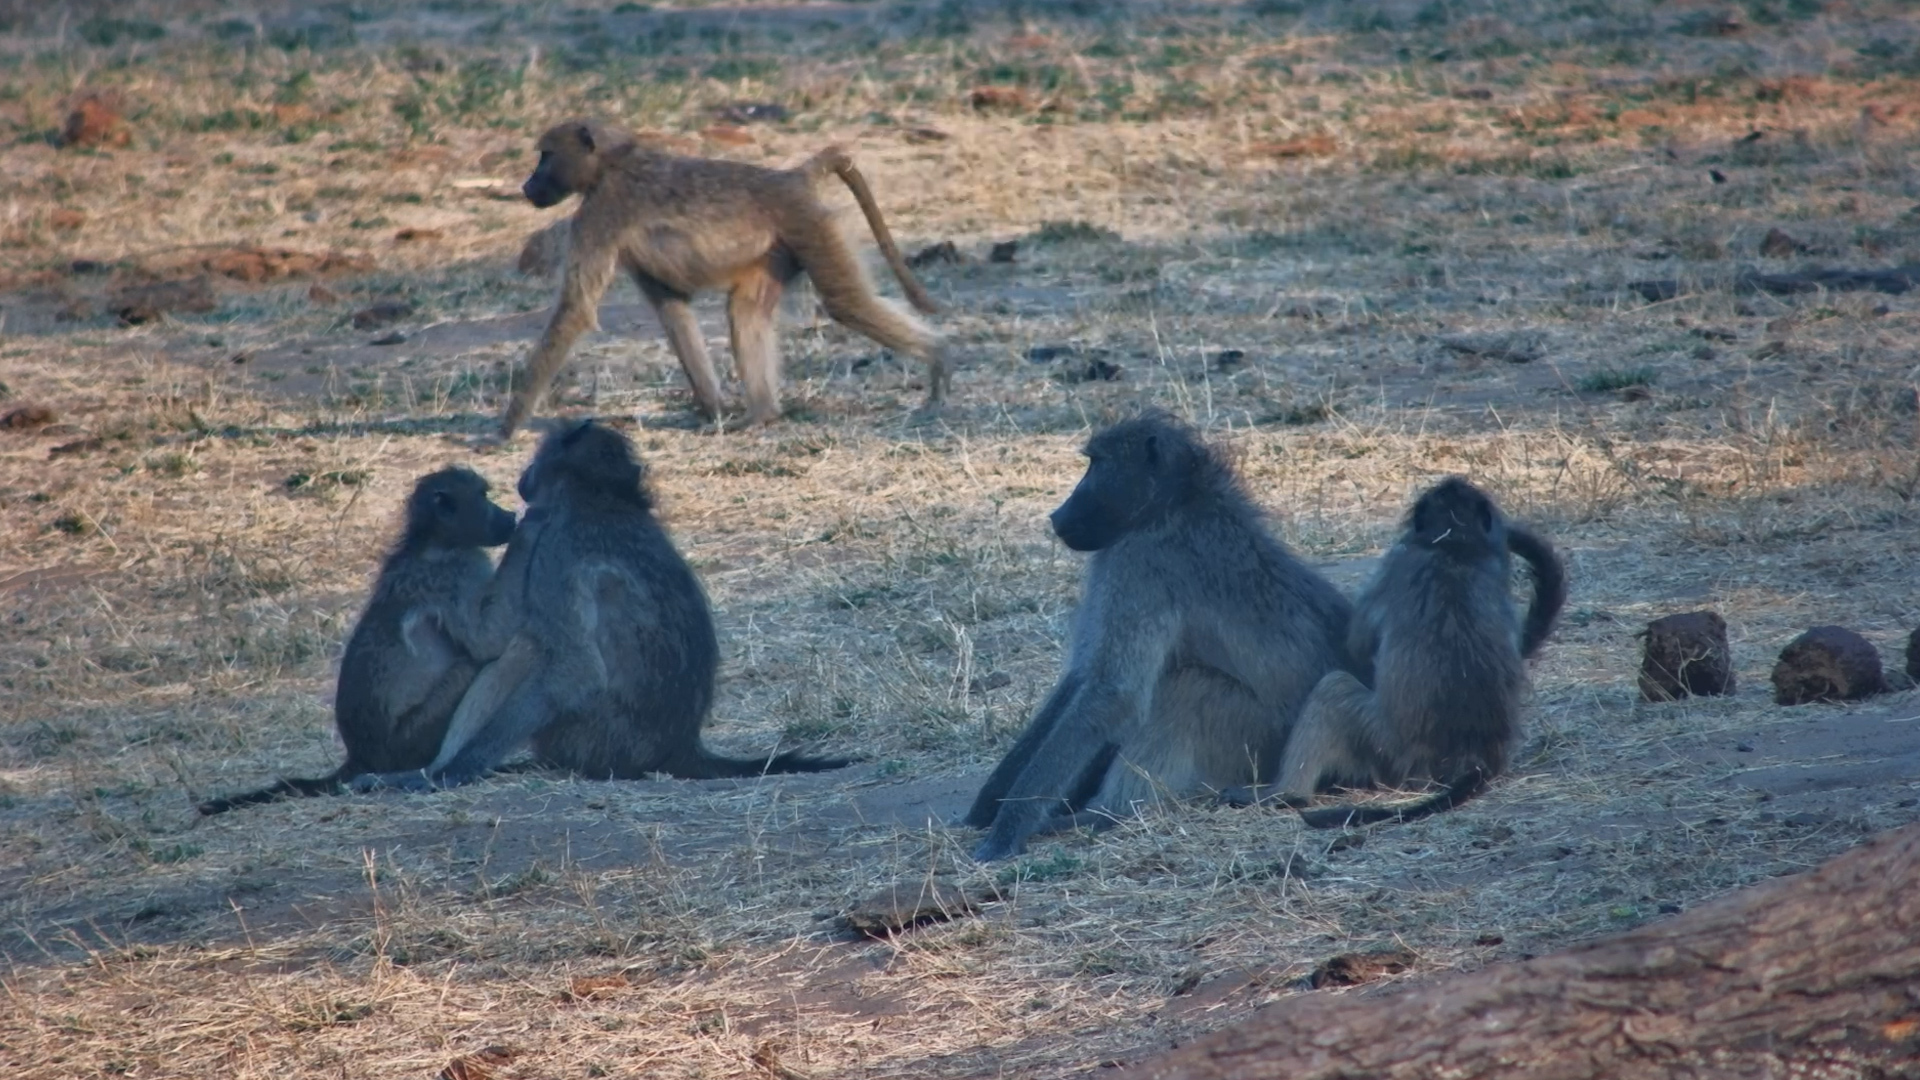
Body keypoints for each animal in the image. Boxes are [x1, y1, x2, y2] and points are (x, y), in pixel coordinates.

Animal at [196, 467, 516, 815]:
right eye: (483, 497)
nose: (510, 516)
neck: (432, 541)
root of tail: (360, 756)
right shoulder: (462, 573)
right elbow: (489, 644)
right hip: (409, 739)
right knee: (472, 665)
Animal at [349, 419, 849, 792]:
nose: (522, 479)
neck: (596, 496)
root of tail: (681, 748)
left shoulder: (555, 551)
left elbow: (576, 670)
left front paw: (452, 771)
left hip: (601, 740)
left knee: (526, 649)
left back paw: (429, 772)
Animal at [497, 119, 947, 438]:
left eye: (545, 156)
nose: (526, 185)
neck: (612, 161)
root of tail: (793, 177)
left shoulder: (599, 214)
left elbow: (576, 310)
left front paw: (504, 430)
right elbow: (672, 310)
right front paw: (713, 409)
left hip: (810, 225)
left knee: (846, 302)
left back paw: (942, 358)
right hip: (780, 248)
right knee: (746, 311)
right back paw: (762, 415)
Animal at [960, 413, 1355, 861]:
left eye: (1095, 464)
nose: (1057, 515)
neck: (1173, 503)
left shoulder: (1136, 560)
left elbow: (1111, 692)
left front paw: (1007, 829)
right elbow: (1081, 679)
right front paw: (985, 809)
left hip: (1257, 745)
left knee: (1186, 685)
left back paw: (1101, 815)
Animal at [1272, 476, 1567, 829]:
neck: (1451, 543)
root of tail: (1474, 755)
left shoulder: (1396, 559)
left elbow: (1357, 647)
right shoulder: (1495, 566)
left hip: (1386, 749)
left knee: (1332, 690)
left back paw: (1287, 796)